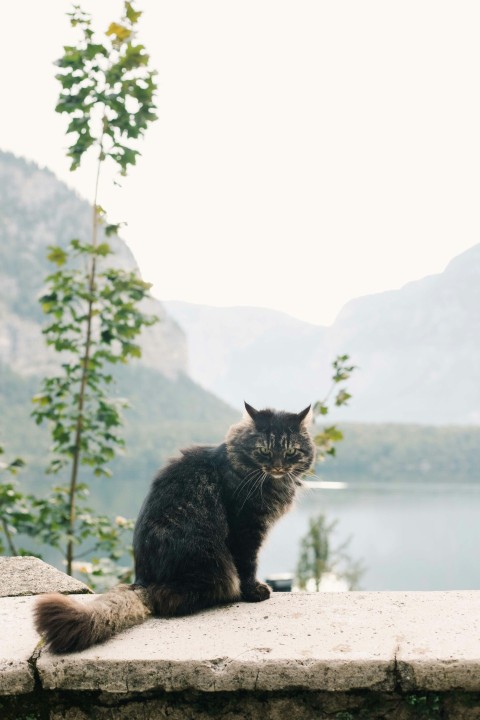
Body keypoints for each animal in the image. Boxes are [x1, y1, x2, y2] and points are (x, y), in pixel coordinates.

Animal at [35, 402, 316, 656]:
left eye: (291, 452)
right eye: (264, 451)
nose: (278, 466)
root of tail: (143, 581)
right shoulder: (245, 528)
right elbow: (248, 565)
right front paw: (254, 591)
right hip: (212, 565)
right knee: (171, 599)